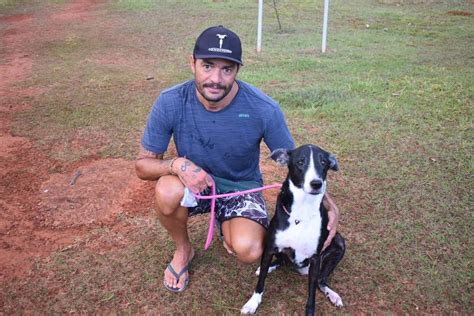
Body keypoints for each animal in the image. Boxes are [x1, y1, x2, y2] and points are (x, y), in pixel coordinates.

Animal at [241, 144, 344, 314]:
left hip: (339, 243)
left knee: (320, 281)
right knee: (280, 262)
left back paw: (333, 295)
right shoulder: (270, 248)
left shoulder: (315, 259)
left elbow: (311, 295)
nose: (316, 184)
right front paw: (252, 303)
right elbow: (261, 282)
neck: (302, 210)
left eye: (323, 162)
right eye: (300, 162)